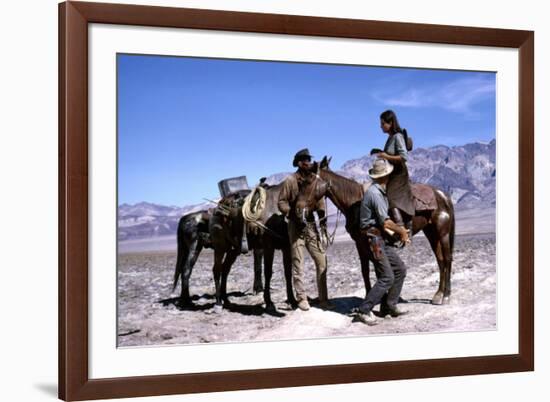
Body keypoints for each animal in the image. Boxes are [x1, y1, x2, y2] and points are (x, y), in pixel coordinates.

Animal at [316, 157, 454, 304]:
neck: (354, 201)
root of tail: (442, 195)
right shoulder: (360, 243)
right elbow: (365, 270)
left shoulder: (367, 242)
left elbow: (376, 269)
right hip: (431, 233)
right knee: (440, 260)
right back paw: (438, 295)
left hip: (443, 233)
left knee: (447, 259)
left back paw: (446, 295)